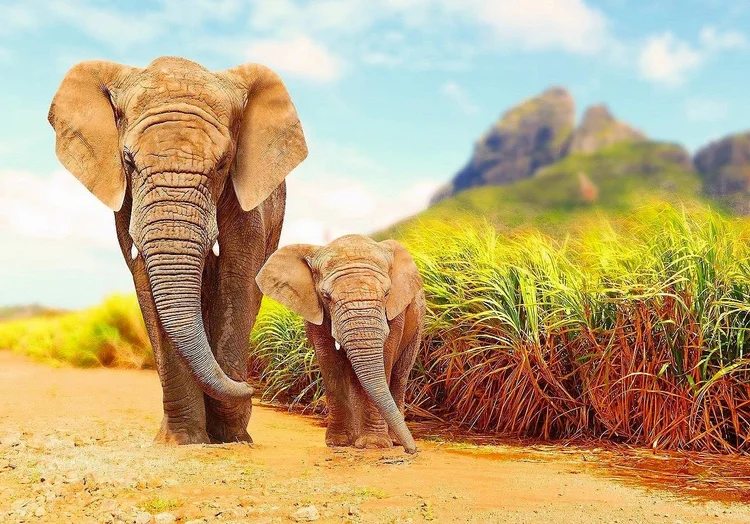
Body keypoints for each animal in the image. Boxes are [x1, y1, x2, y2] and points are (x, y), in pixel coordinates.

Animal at [47, 56, 308, 444]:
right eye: (128, 161)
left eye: (223, 163)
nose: (252, 387)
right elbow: (146, 280)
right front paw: (182, 441)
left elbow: (237, 277)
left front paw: (231, 435)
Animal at [256, 235, 425, 454]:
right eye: (326, 296)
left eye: (387, 293)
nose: (412, 450)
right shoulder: (315, 310)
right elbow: (329, 362)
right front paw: (339, 443)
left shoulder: (396, 313)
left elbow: (386, 357)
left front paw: (374, 445)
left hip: (418, 325)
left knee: (399, 375)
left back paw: (392, 440)